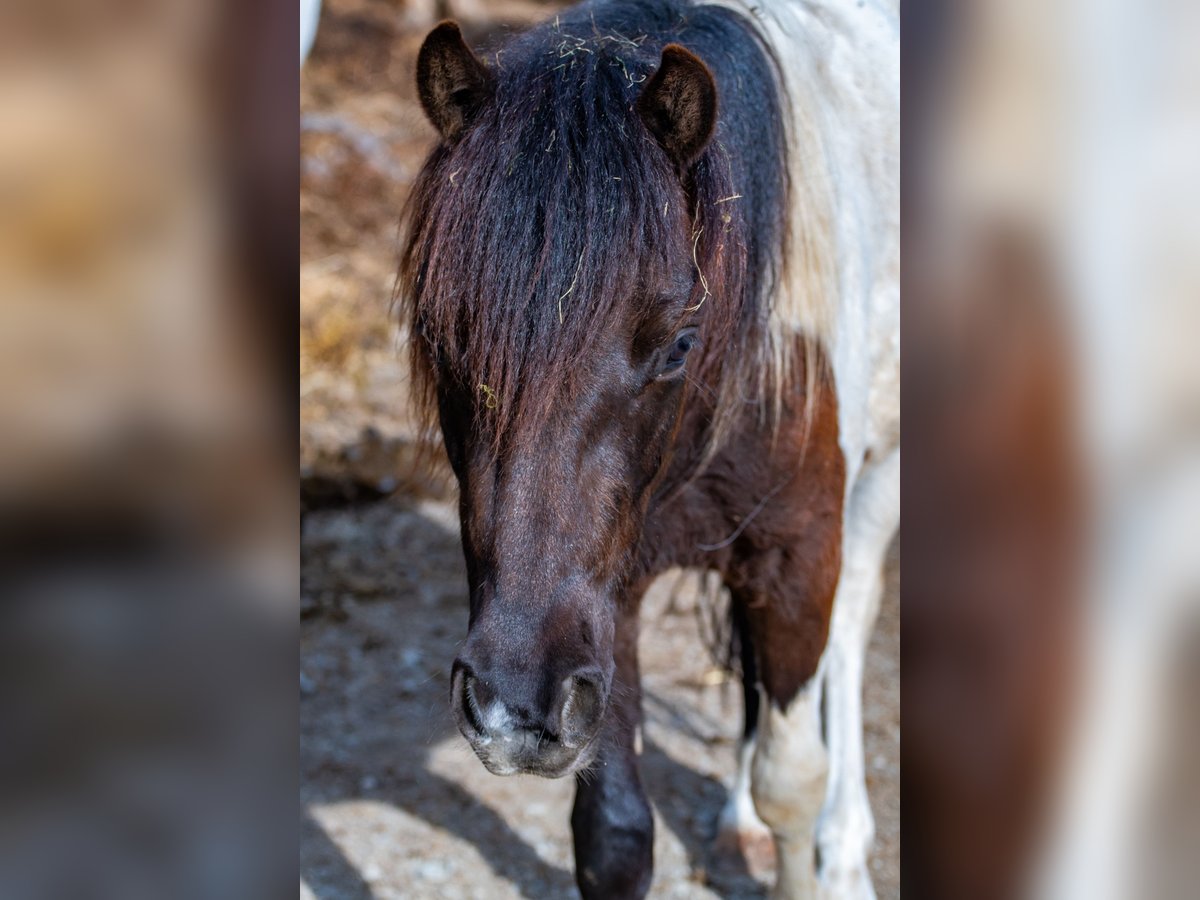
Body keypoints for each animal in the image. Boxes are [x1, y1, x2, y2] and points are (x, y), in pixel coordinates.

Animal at [398, 3, 897, 897]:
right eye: (439, 335)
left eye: (676, 346)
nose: (513, 708)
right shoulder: (608, 602)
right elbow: (615, 835)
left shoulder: (799, 556)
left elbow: (792, 782)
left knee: (850, 634)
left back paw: (845, 850)